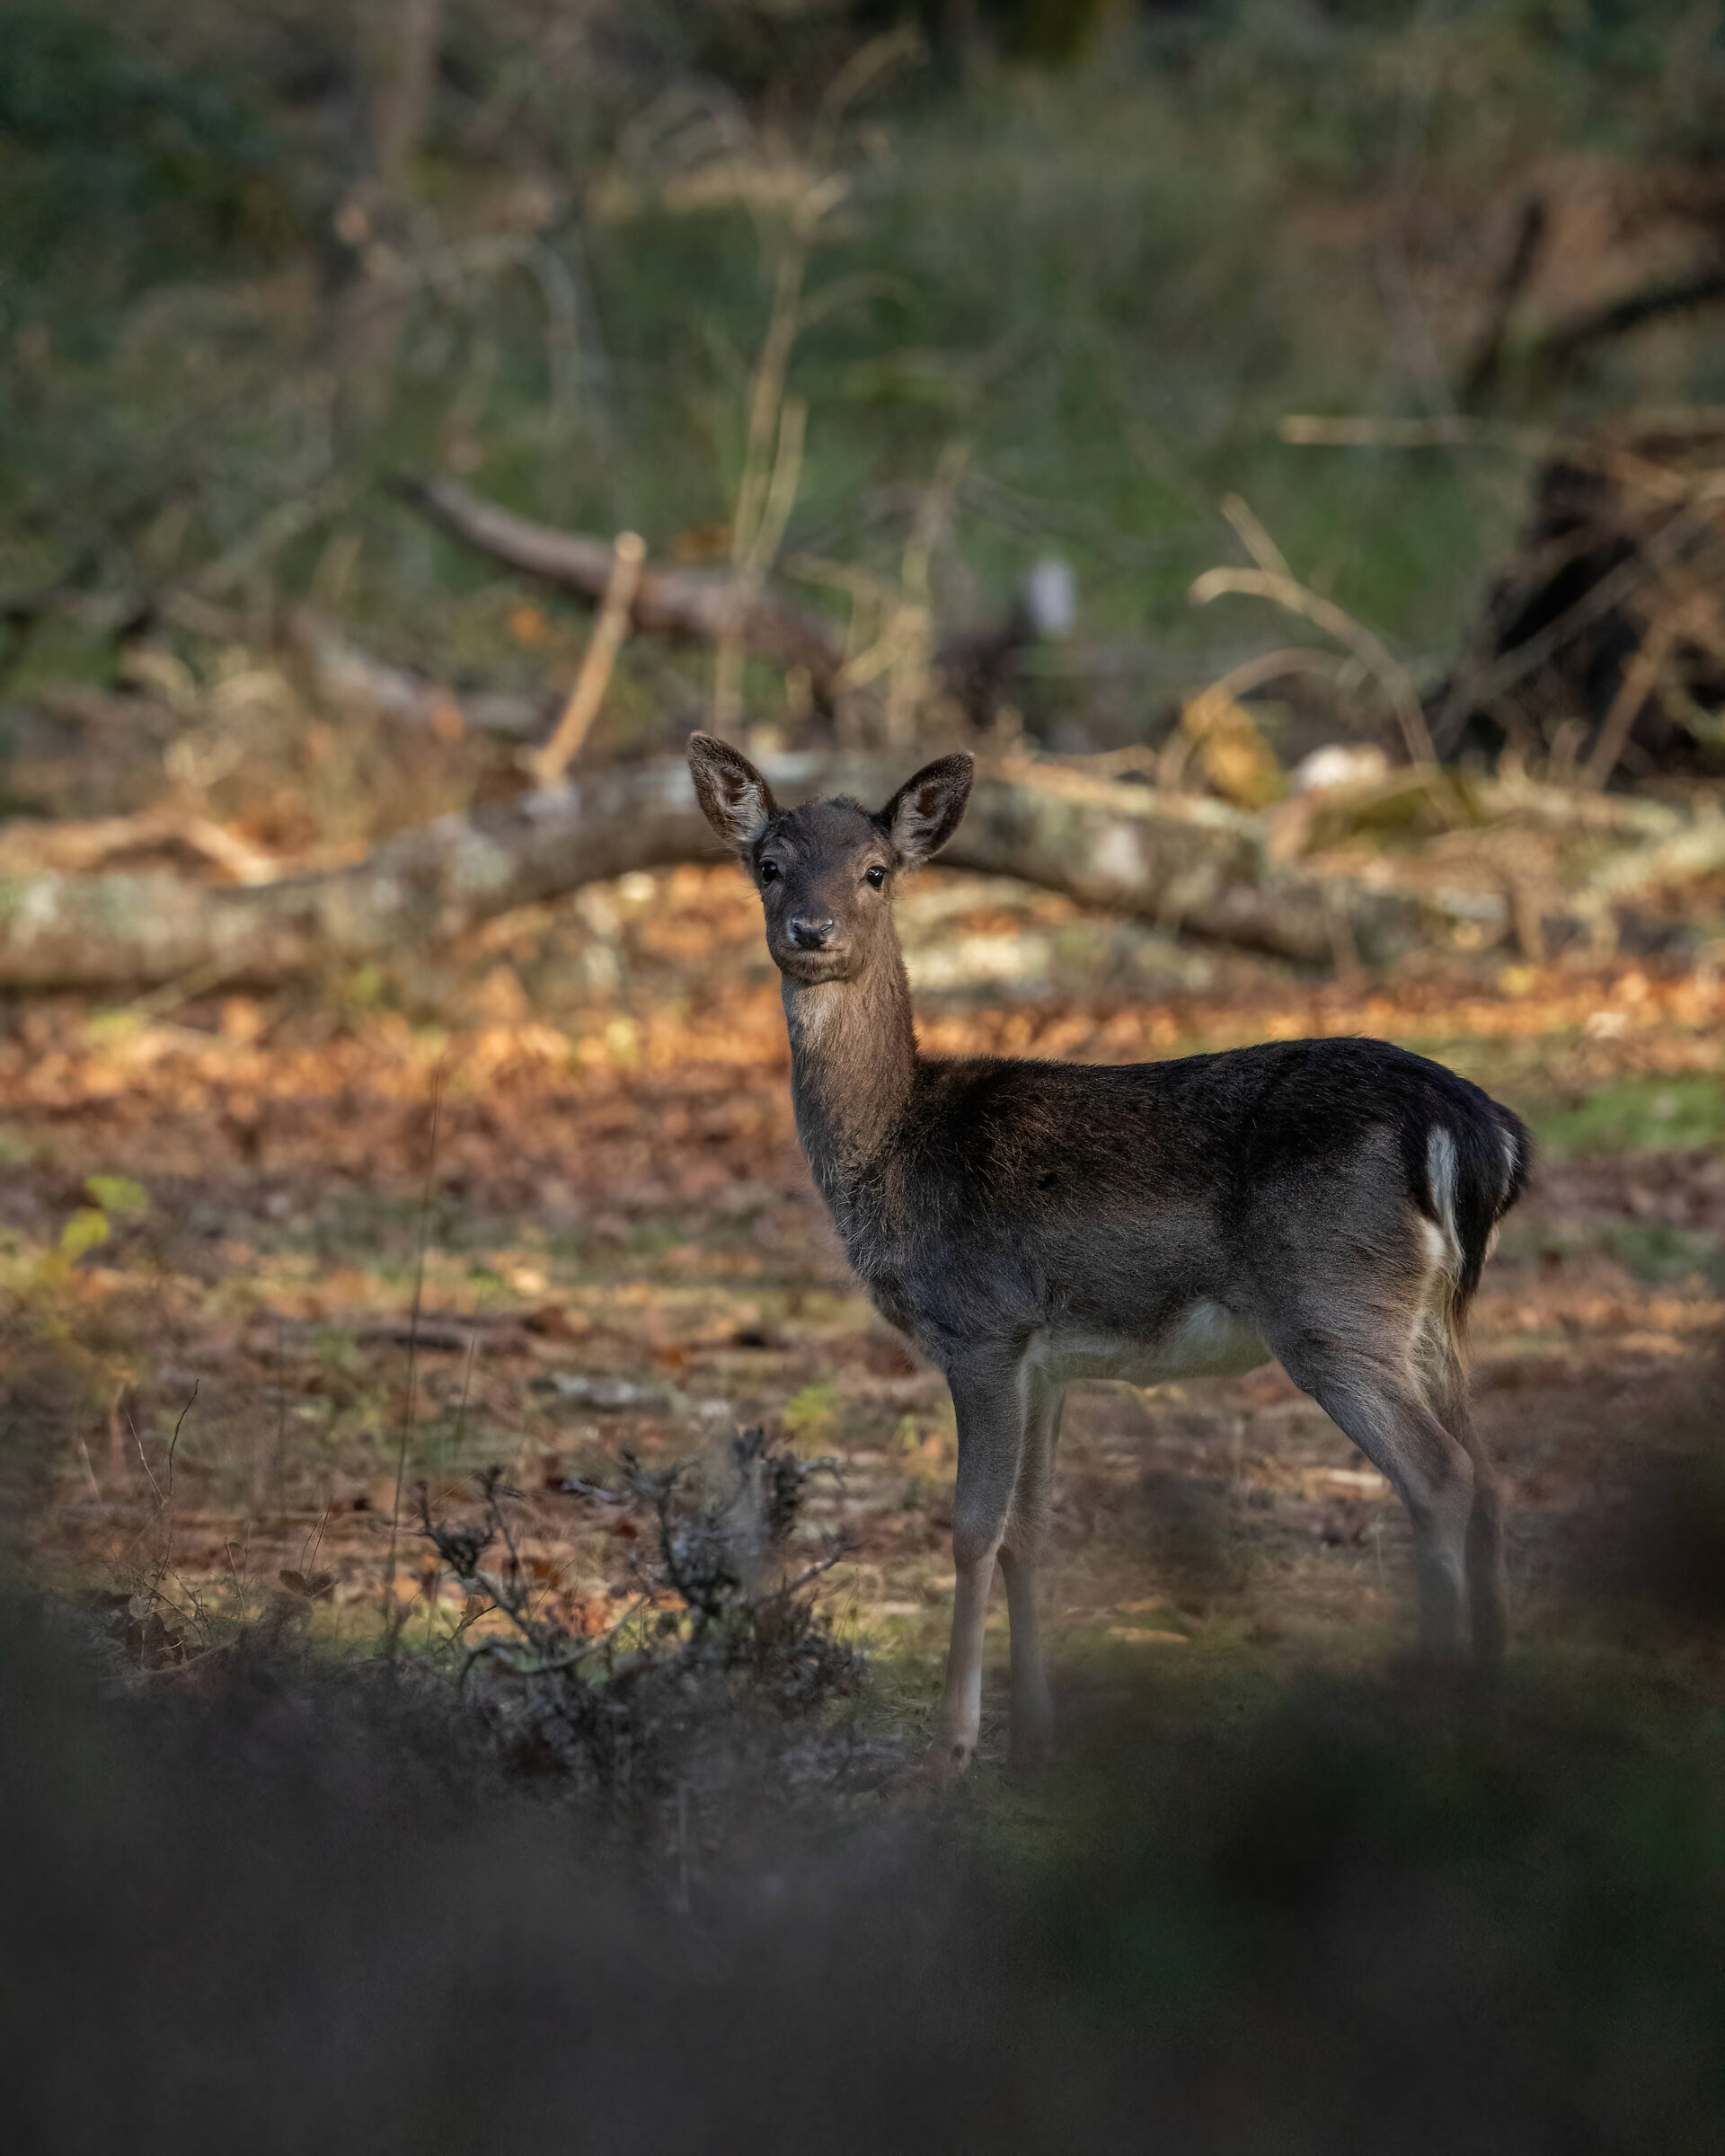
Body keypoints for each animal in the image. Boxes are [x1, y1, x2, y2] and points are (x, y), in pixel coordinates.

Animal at [687, 732, 1531, 1776]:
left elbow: (971, 1532)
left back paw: (1435, 1716)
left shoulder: (982, 1327)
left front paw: (952, 1747)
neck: (899, 1151)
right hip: (1433, 1319)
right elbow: (1031, 1535)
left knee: (1442, 1478)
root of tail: (1477, 1133)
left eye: (875, 871)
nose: (810, 929)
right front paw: (1035, 1738)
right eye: (768, 866)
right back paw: (1494, 1702)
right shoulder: (1050, 1362)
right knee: (1491, 1474)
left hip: (1333, 1305)